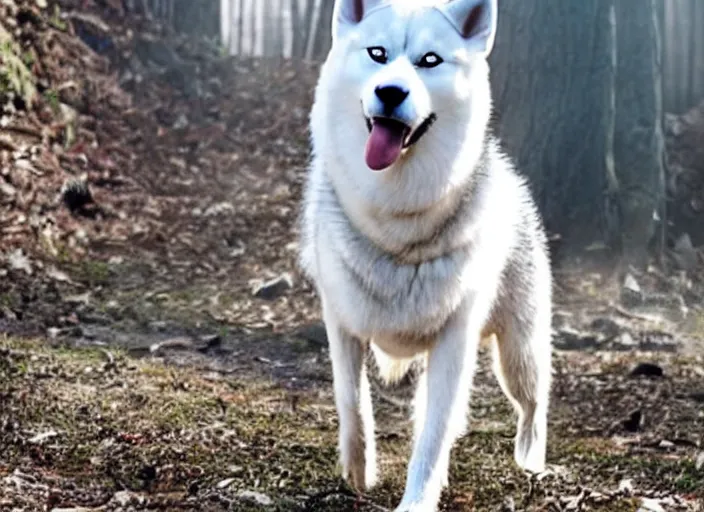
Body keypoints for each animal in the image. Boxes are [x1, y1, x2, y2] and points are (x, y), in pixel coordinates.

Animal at [296, 0, 552, 508]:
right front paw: (358, 474)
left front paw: (416, 500)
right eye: (377, 53)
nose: (391, 91)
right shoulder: (342, 322)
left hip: (518, 354)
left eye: (429, 61)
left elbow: (433, 436)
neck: (398, 222)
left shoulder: (454, 343)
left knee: (534, 403)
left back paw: (531, 461)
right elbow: (352, 402)